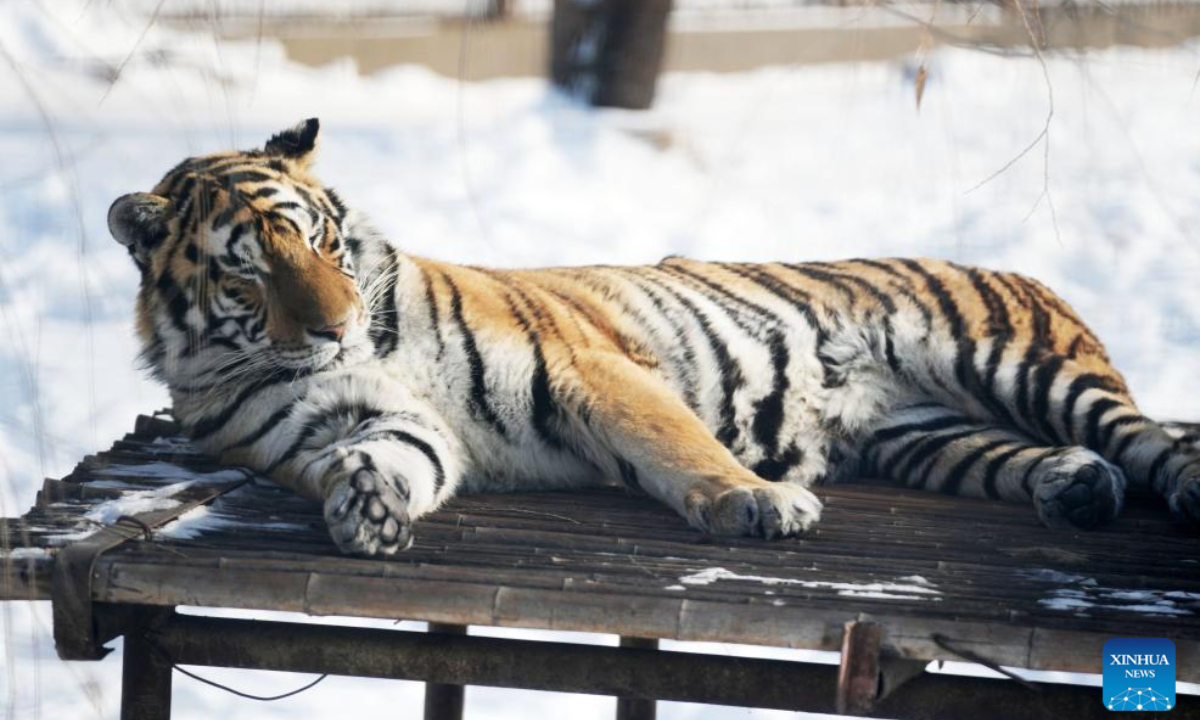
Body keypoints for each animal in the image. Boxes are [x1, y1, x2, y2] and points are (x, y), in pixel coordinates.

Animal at [105, 119, 1200, 556]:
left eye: (324, 240)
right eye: (245, 269)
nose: (332, 326)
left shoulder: (581, 368)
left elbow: (676, 445)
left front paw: (763, 504)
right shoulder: (348, 427)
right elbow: (389, 456)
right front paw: (367, 507)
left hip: (1022, 363)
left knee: (1149, 437)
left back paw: (1162, 484)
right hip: (927, 435)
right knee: (1042, 457)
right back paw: (1077, 490)